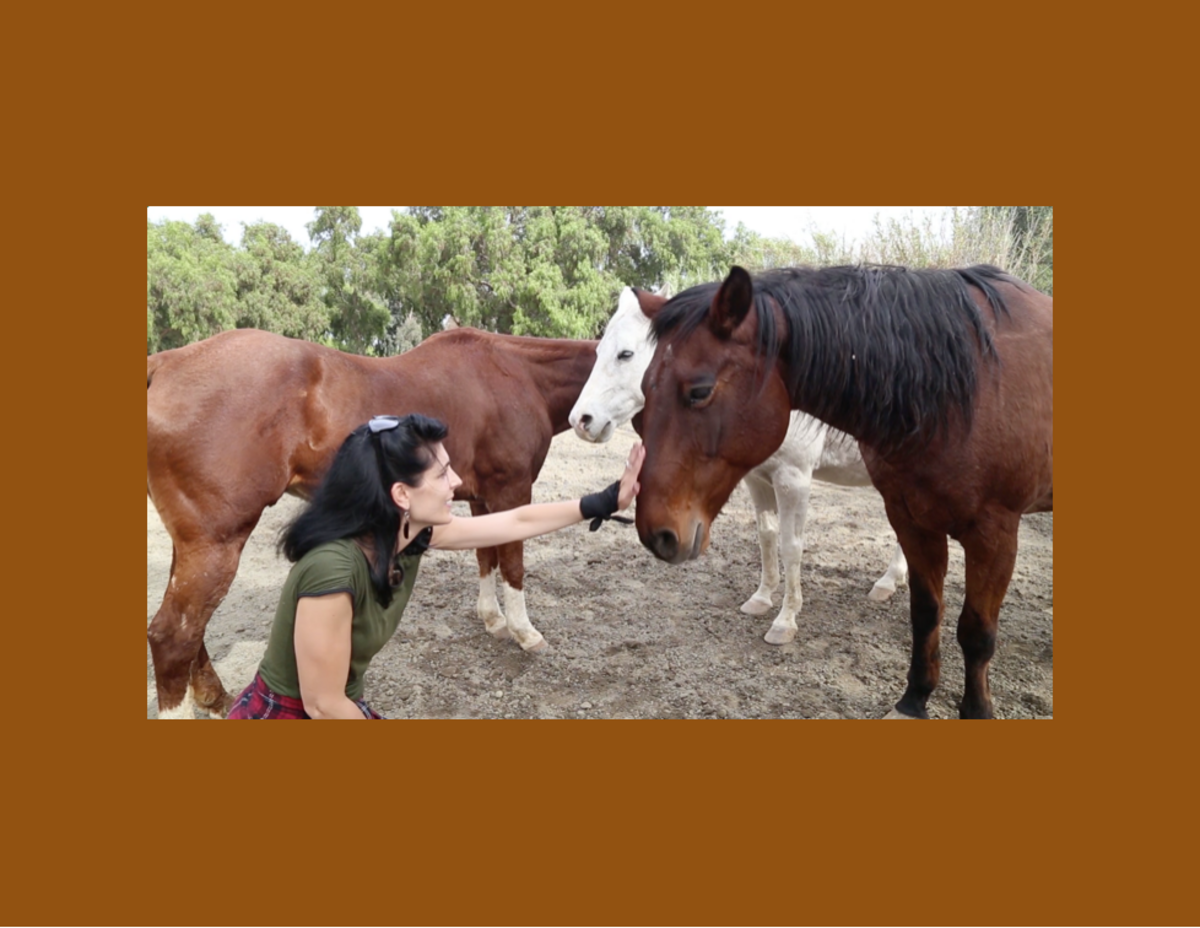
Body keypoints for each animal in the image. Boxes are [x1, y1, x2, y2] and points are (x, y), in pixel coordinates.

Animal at [568, 286, 907, 645]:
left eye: (626, 354)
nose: (580, 420)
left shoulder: (793, 479)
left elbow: (791, 547)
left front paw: (785, 620)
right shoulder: (757, 478)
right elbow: (767, 536)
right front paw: (761, 598)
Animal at [636, 265, 1052, 719]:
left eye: (700, 391)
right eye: (644, 391)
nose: (657, 534)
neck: (966, 389)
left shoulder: (994, 535)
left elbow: (977, 633)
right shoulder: (910, 518)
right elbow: (926, 613)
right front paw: (913, 701)